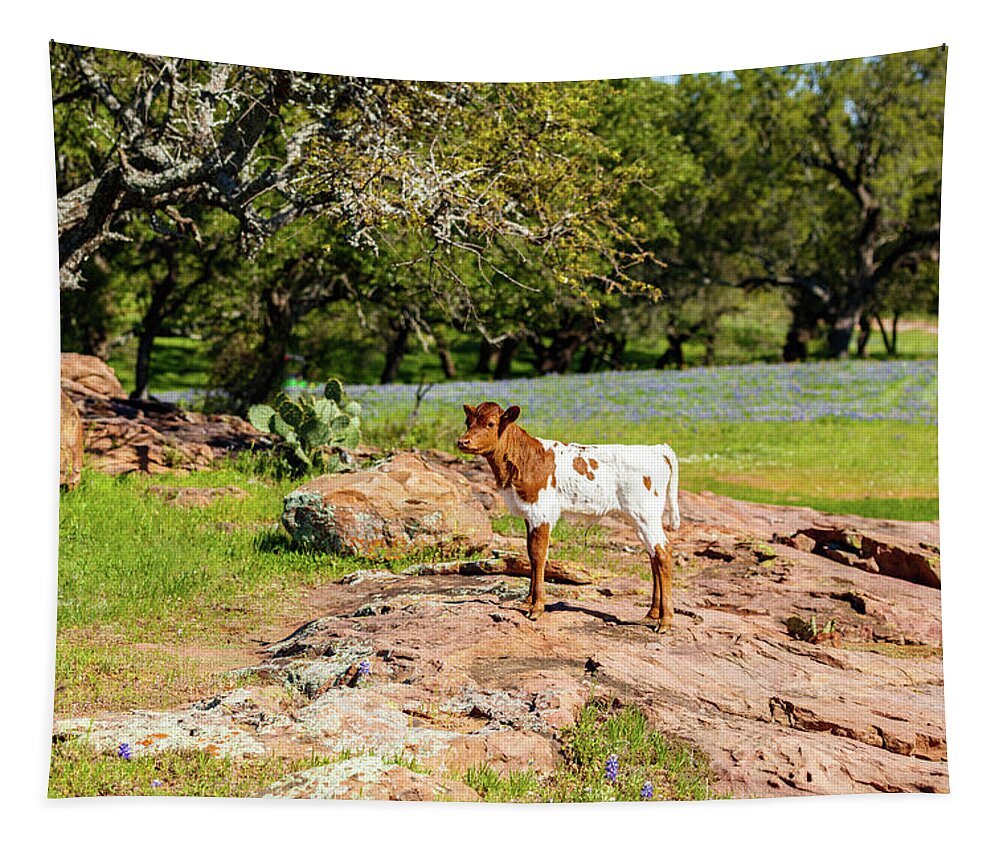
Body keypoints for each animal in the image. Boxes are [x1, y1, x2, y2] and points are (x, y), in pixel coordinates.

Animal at [458, 404, 680, 632]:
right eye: (468, 422)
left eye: (491, 423)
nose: (462, 441)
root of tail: (656, 449)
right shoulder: (529, 513)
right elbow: (530, 554)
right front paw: (527, 602)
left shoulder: (541, 512)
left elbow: (538, 555)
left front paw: (536, 607)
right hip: (642, 518)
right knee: (653, 556)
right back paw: (652, 614)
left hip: (645, 515)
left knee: (663, 553)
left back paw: (665, 620)